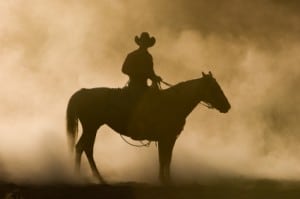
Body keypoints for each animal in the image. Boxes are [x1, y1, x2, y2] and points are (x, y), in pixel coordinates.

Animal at [66, 71, 230, 183]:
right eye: (214, 88)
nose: (227, 106)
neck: (174, 102)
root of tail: (83, 92)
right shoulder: (166, 138)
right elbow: (165, 159)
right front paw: (165, 181)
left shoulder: (169, 139)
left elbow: (165, 158)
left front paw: (164, 180)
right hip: (91, 127)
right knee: (83, 148)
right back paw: (81, 177)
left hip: (92, 128)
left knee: (85, 148)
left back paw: (97, 178)